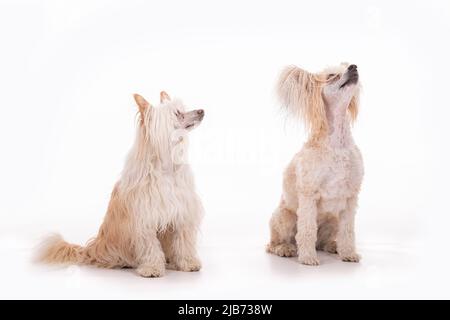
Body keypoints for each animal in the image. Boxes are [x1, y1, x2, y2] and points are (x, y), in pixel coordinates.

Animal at [37, 91, 205, 276]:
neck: (167, 167)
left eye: (182, 109)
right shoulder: (144, 219)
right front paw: (152, 267)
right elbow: (150, 245)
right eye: (177, 113)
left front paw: (187, 262)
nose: (201, 111)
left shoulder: (183, 215)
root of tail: (92, 248)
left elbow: (184, 242)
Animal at [266, 62, 364, 264]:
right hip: (284, 217)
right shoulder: (308, 195)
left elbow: (348, 231)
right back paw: (285, 248)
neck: (337, 144)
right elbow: (307, 229)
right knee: (274, 243)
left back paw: (332, 246)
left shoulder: (351, 197)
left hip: (333, 219)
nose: (353, 66)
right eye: (332, 75)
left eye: (347, 66)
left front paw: (348, 253)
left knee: (322, 242)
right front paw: (308, 258)